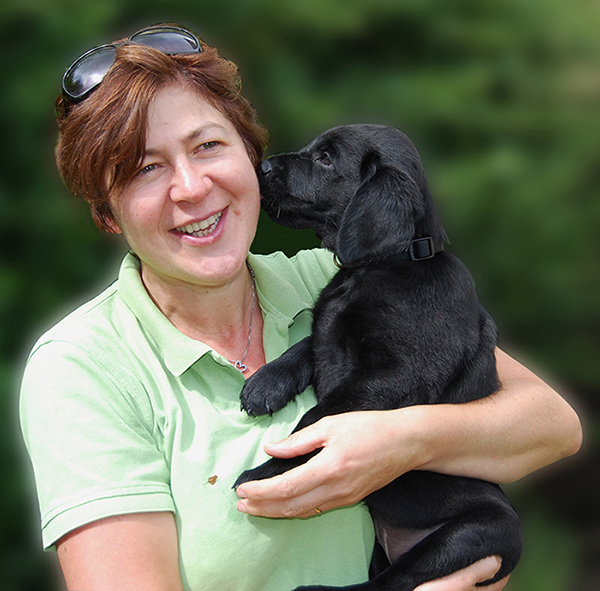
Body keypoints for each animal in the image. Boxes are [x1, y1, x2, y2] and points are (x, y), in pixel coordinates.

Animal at [234, 126, 520, 591]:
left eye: (326, 159)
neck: (382, 266)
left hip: (469, 534)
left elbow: (317, 419)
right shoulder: (330, 335)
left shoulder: (396, 374)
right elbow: (305, 346)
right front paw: (265, 384)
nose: (263, 166)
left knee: (392, 581)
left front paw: (270, 471)